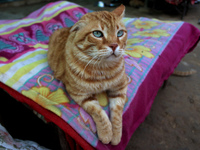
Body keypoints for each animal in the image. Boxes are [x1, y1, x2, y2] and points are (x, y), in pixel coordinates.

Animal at [47, 4, 127, 145]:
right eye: (97, 33)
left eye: (120, 33)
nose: (114, 45)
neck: (103, 69)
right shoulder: (80, 94)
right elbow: (99, 112)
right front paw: (106, 133)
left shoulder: (120, 88)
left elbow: (117, 113)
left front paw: (116, 135)